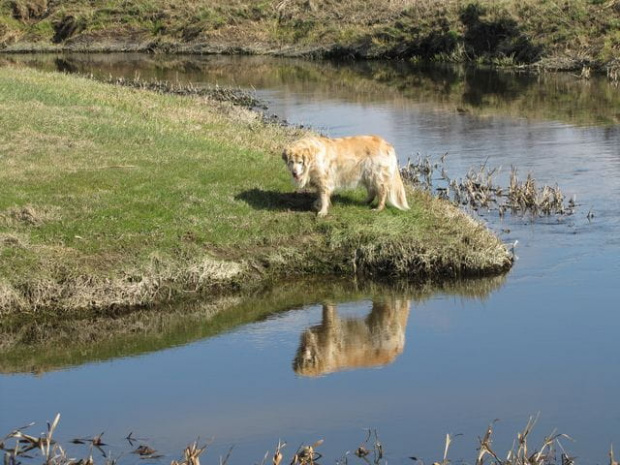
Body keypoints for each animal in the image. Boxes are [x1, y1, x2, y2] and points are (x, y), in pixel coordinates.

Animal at [282, 135, 410, 217]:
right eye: (291, 162)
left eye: (300, 162)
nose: (294, 173)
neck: (313, 159)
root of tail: (388, 145)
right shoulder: (318, 181)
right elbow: (320, 194)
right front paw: (317, 204)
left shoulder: (324, 180)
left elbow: (324, 196)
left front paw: (322, 211)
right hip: (367, 174)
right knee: (372, 191)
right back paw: (364, 202)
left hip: (376, 174)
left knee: (382, 191)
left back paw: (378, 208)